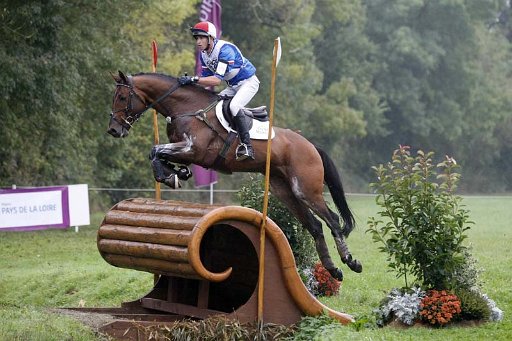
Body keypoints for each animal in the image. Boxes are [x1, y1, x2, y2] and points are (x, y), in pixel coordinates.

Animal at [108, 69, 364, 278]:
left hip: (305, 189)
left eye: (121, 97)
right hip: (284, 191)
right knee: (315, 226)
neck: (186, 108)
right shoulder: (185, 151)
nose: (113, 130)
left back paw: (350, 261)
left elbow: (155, 150)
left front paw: (172, 175)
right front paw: (175, 174)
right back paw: (333, 269)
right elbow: (157, 154)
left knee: (332, 220)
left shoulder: (193, 150)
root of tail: (310, 146)